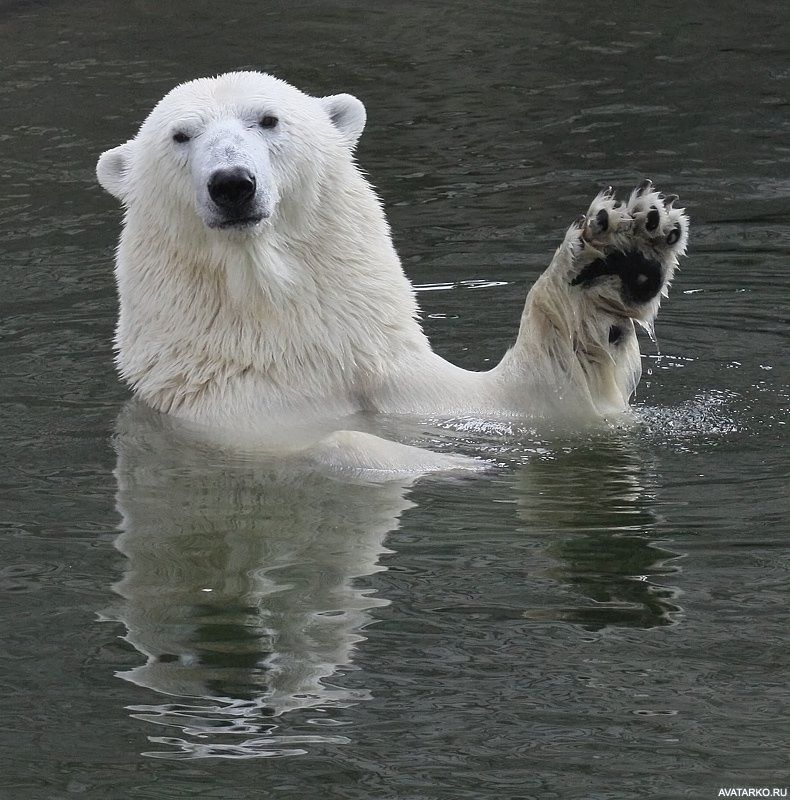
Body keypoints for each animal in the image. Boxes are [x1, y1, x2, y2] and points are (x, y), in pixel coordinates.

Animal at [97, 73, 692, 468]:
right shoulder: (230, 417)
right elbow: (342, 445)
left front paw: (622, 254)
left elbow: (537, 399)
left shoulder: (394, 375)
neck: (299, 349)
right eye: (180, 135)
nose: (232, 183)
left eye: (268, 119)